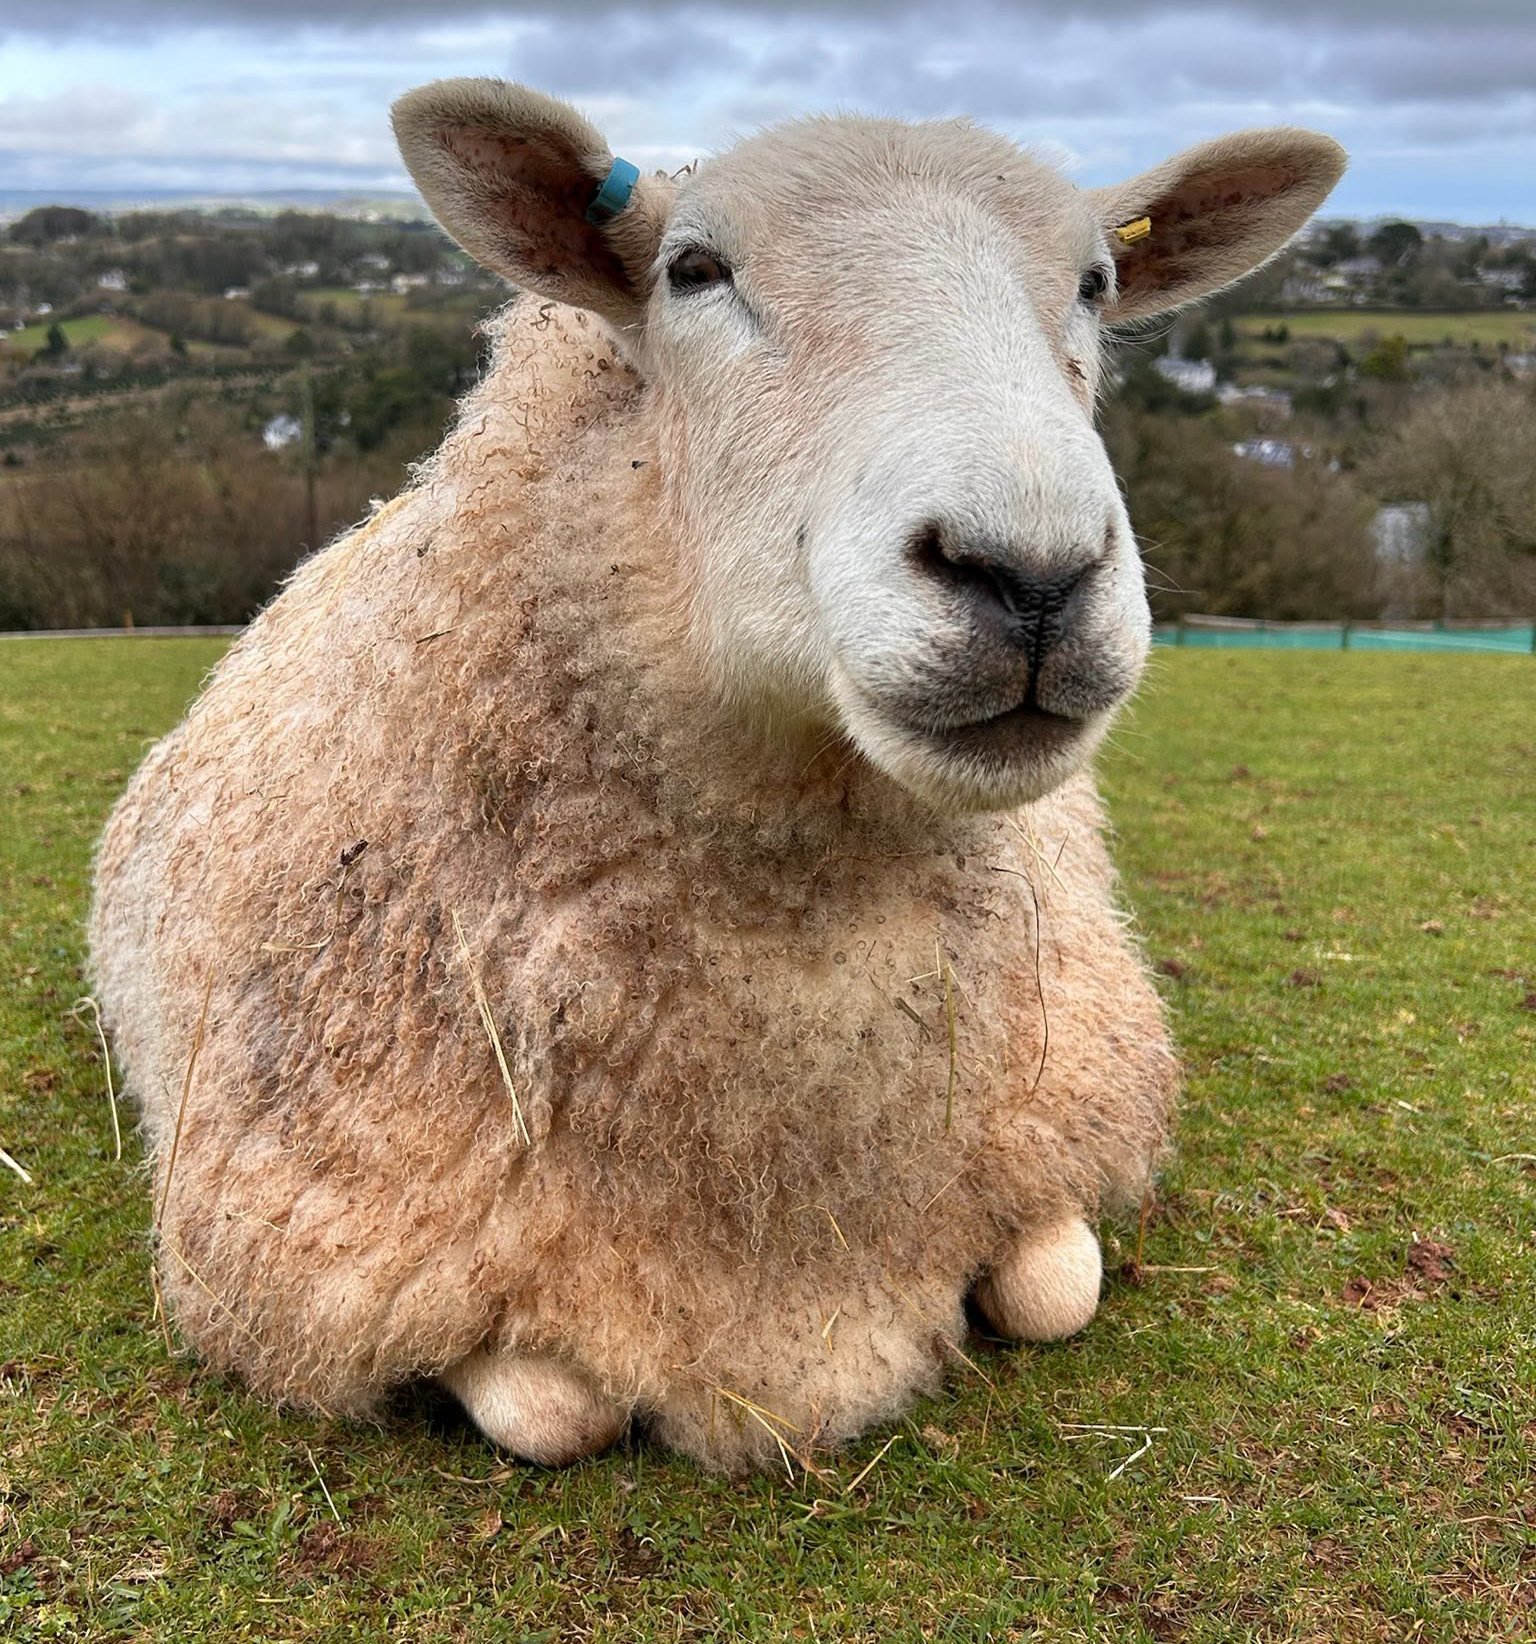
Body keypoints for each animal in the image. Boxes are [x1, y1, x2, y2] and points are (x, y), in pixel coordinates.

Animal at [89, 79, 1344, 1471]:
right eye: (693, 270)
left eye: (1096, 282)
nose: (1032, 575)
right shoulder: (316, 1226)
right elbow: (553, 1406)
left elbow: (1054, 1285)